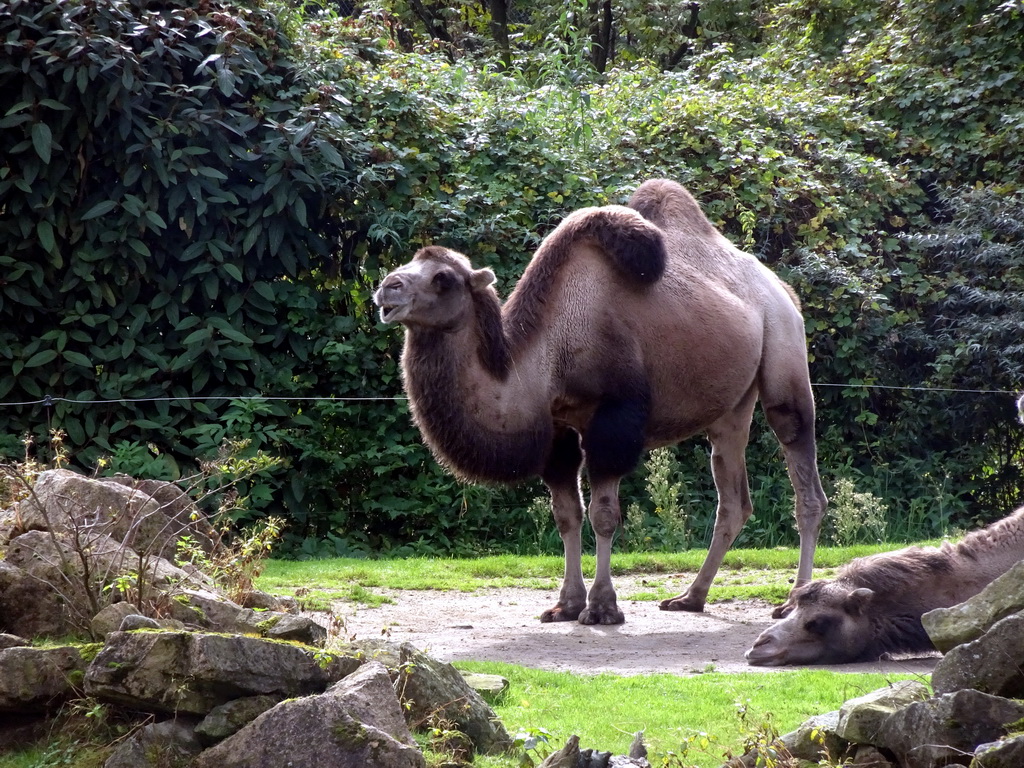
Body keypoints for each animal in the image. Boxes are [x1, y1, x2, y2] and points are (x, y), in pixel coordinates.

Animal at [372, 179, 827, 626]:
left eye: (443, 277)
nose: (386, 286)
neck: (551, 349)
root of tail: (784, 291)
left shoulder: (613, 418)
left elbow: (603, 515)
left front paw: (603, 607)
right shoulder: (557, 428)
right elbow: (566, 515)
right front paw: (566, 605)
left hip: (785, 352)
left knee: (802, 470)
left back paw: (793, 601)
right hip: (732, 406)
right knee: (732, 498)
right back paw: (690, 597)